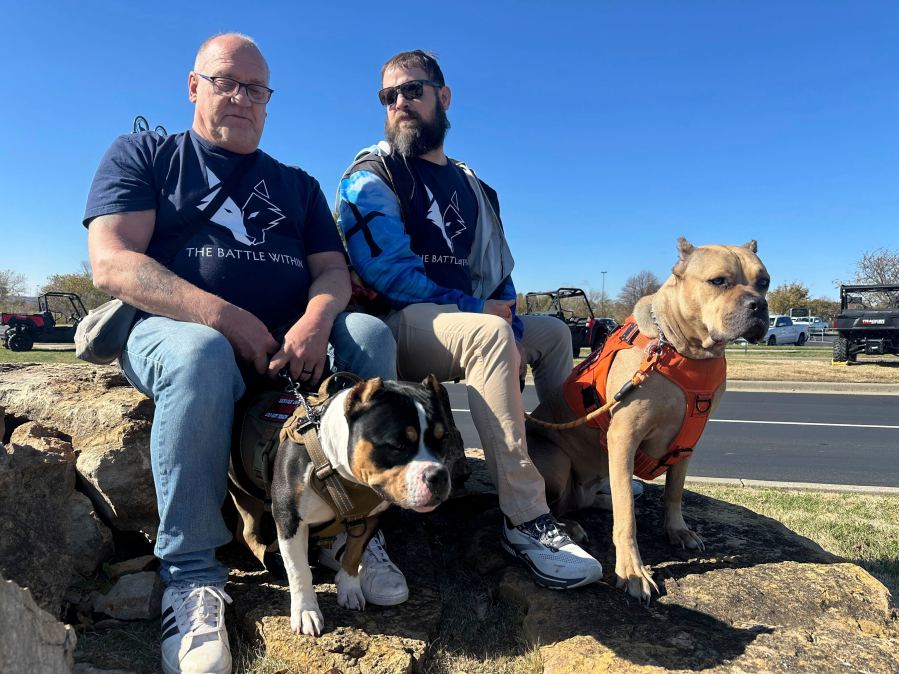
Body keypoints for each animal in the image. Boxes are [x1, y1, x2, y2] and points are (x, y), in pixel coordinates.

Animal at [532, 236, 768, 600]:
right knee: (558, 505)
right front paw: (632, 570)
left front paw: (677, 530)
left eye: (765, 282)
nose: (758, 304)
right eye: (719, 281)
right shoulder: (623, 438)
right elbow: (627, 517)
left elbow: (674, 491)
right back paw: (569, 523)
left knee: (593, 498)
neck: (684, 350)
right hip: (556, 462)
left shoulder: (687, 443)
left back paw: (603, 501)